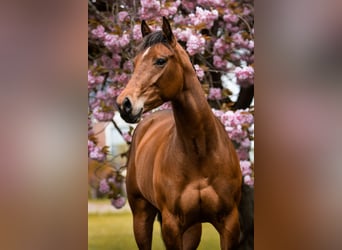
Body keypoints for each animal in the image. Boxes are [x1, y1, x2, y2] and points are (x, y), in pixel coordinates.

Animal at [116, 17, 247, 248]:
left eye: (160, 60)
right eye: (135, 62)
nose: (124, 104)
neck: (201, 153)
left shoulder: (229, 224)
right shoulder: (171, 226)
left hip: (193, 229)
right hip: (141, 217)